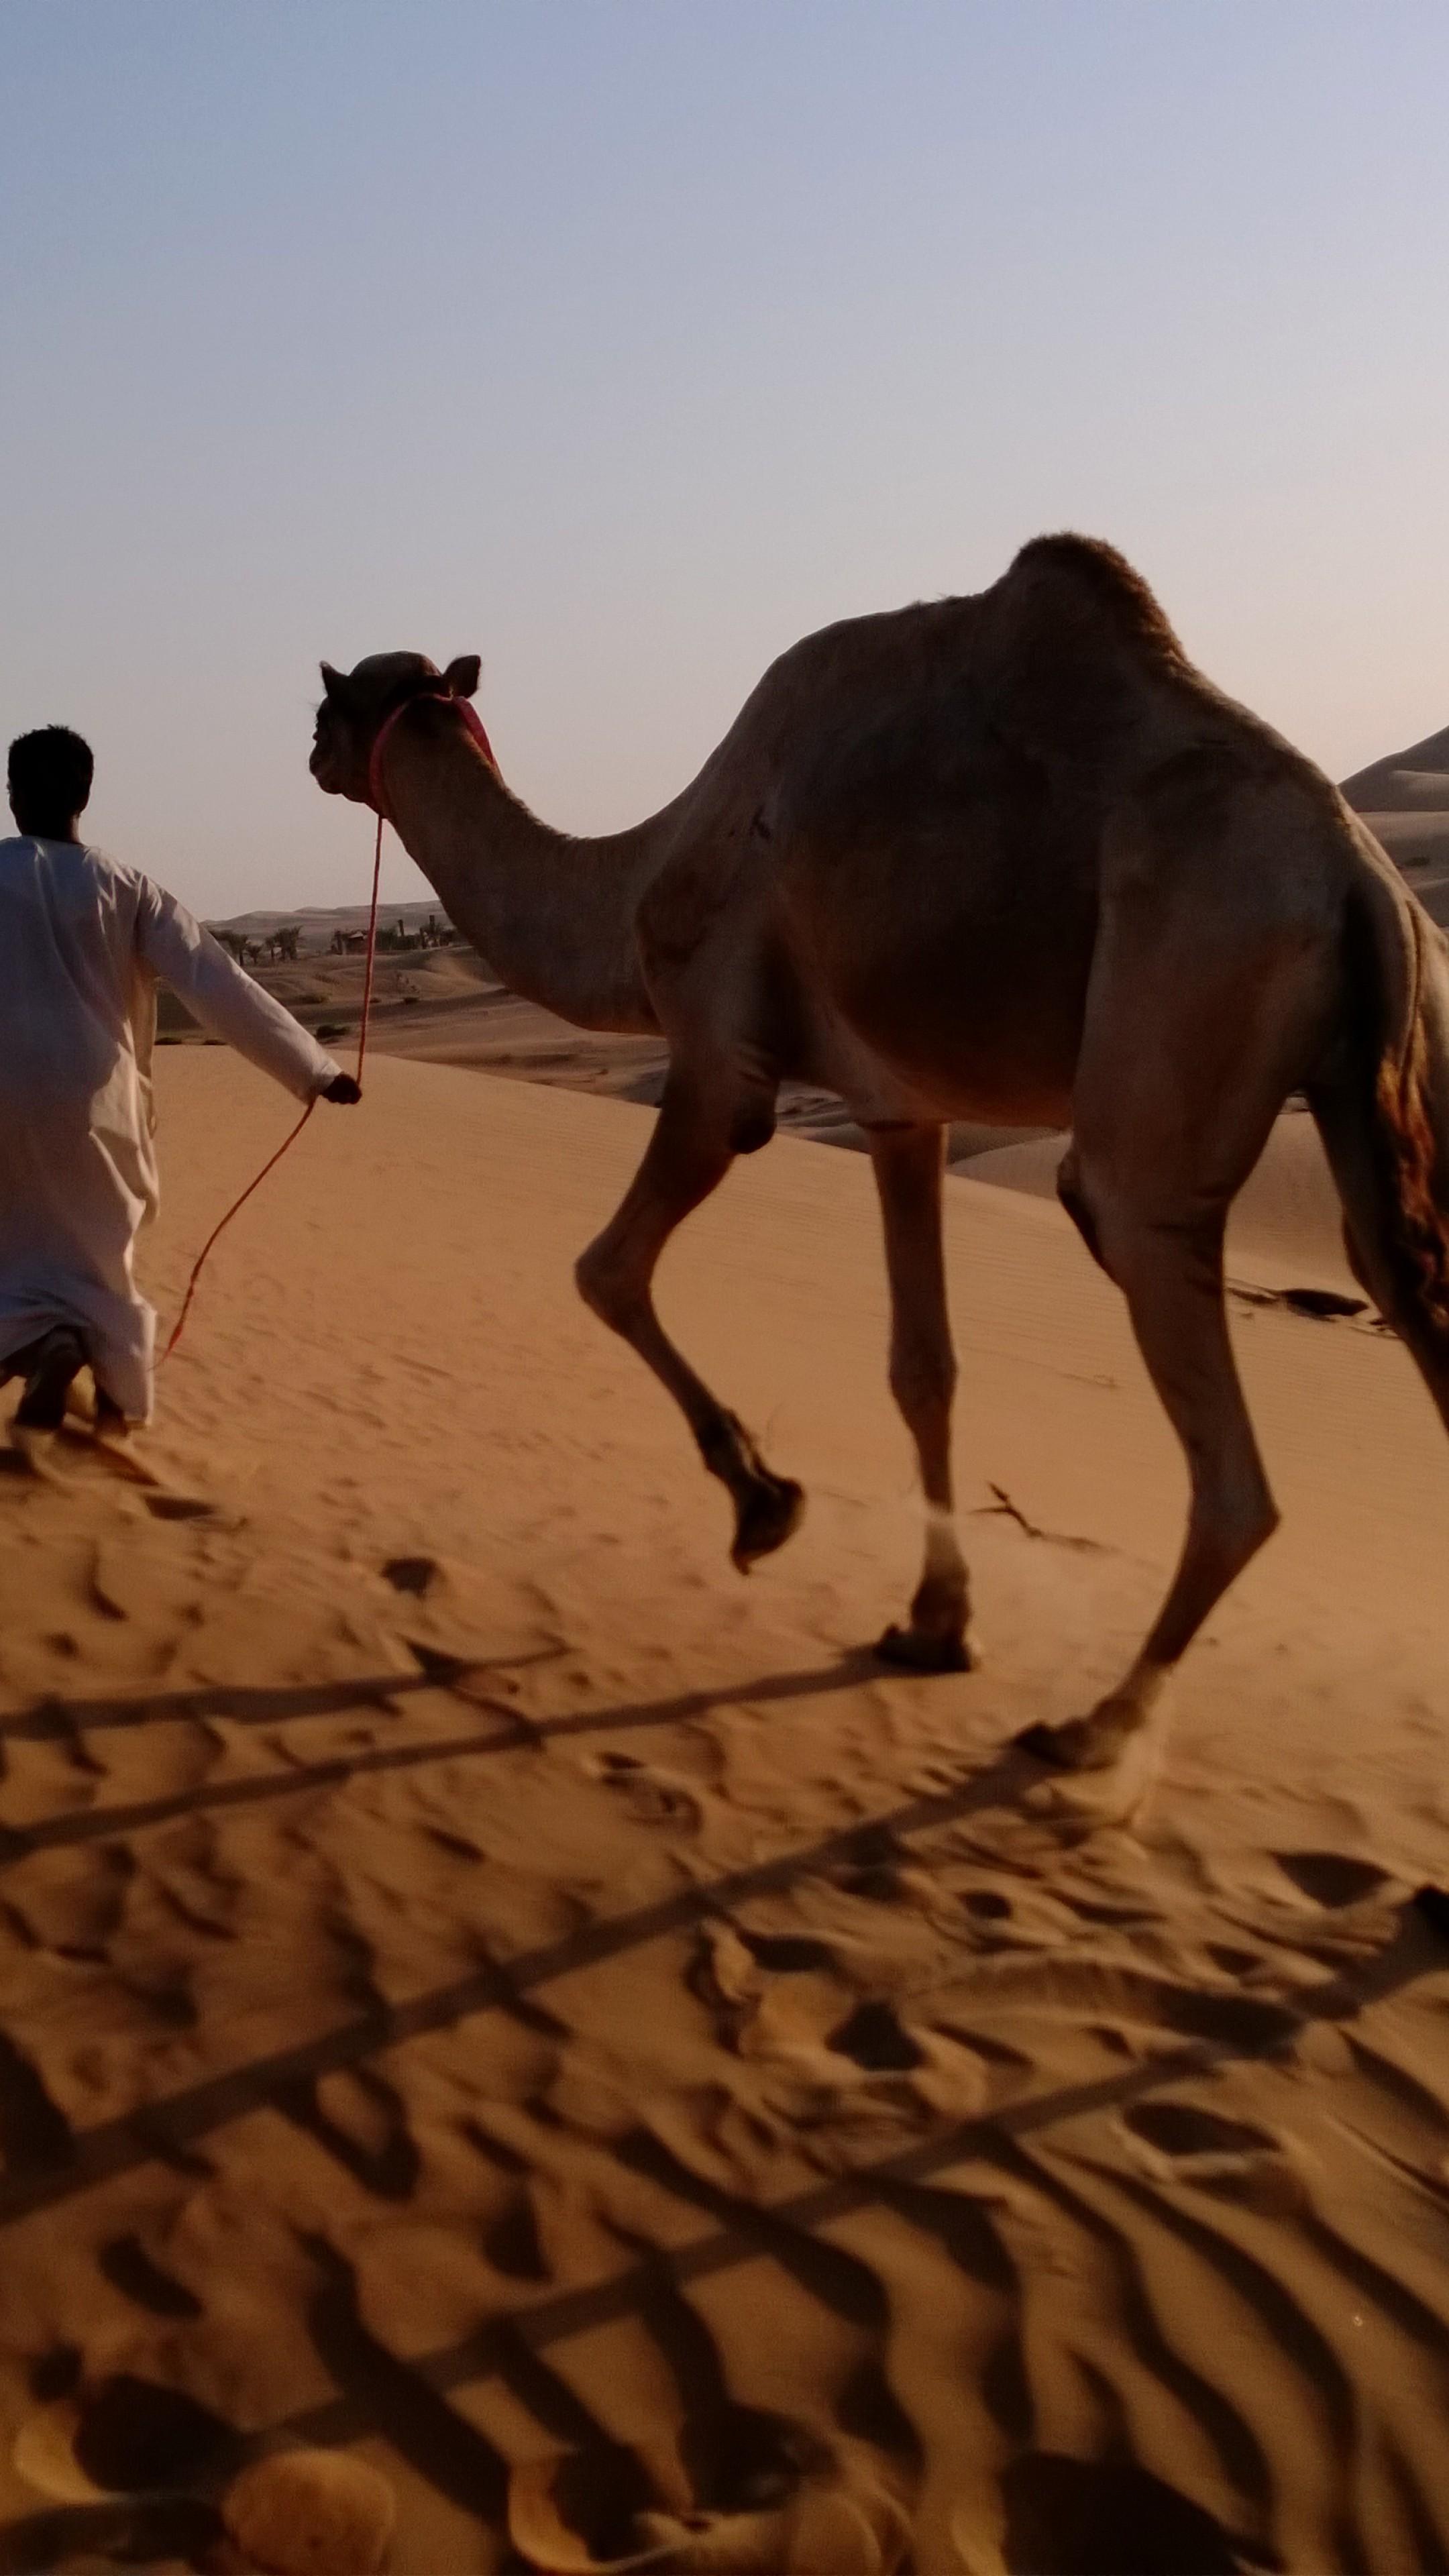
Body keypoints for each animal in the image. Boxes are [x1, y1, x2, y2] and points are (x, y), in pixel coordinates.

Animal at [310, 535, 1449, 1782]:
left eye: (330, 699)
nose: (311, 752)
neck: (639, 881)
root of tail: (1362, 880)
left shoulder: (720, 1061)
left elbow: (606, 1270)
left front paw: (765, 1505)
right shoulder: (903, 1111)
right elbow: (922, 1364)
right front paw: (934, 1624)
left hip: (1187, 1006)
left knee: (1210, 1414)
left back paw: (1096, 1726)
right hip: (1378, 1082)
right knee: (1401, 1278)